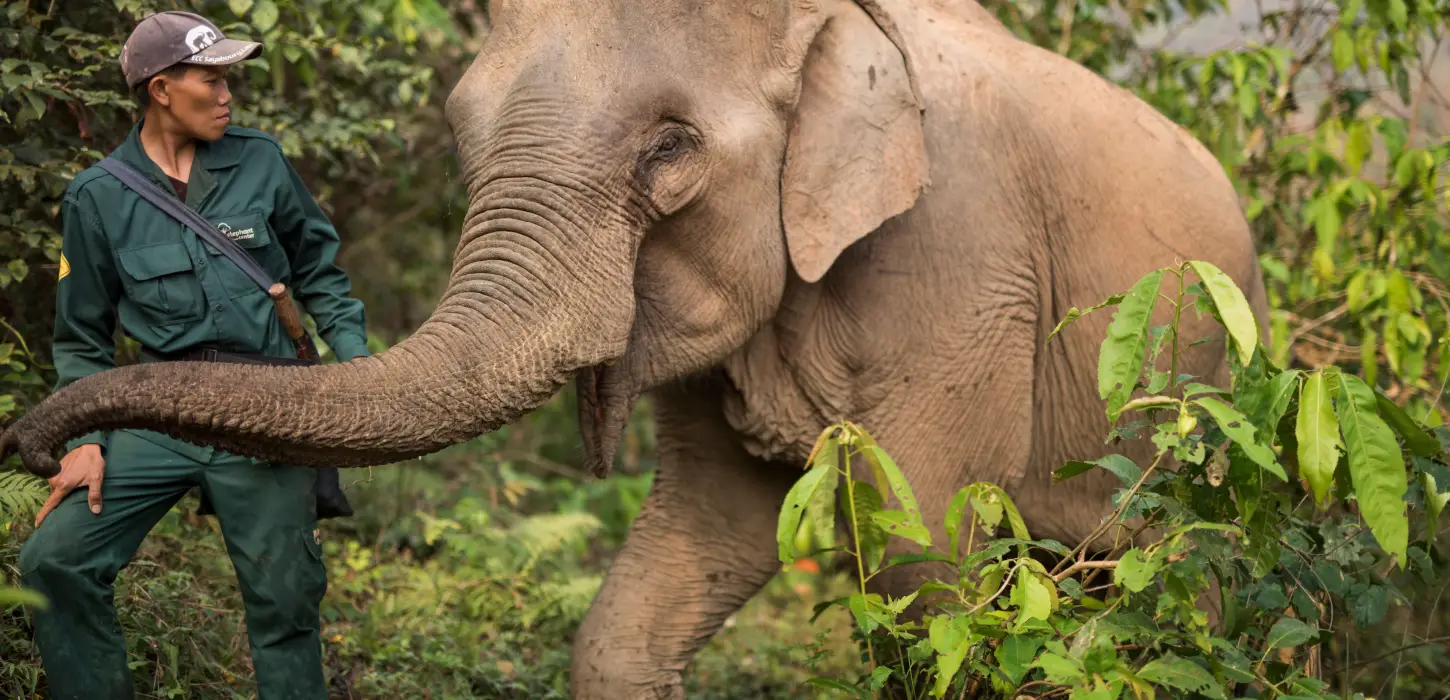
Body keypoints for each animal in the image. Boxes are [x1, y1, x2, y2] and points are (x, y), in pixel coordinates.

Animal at [4, 0, 1270, 696]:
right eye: (459, 127)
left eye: (669, 148)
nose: (30, 442)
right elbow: (696, 540)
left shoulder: (965, 254)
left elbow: (924, 557)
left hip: (1209, 393)